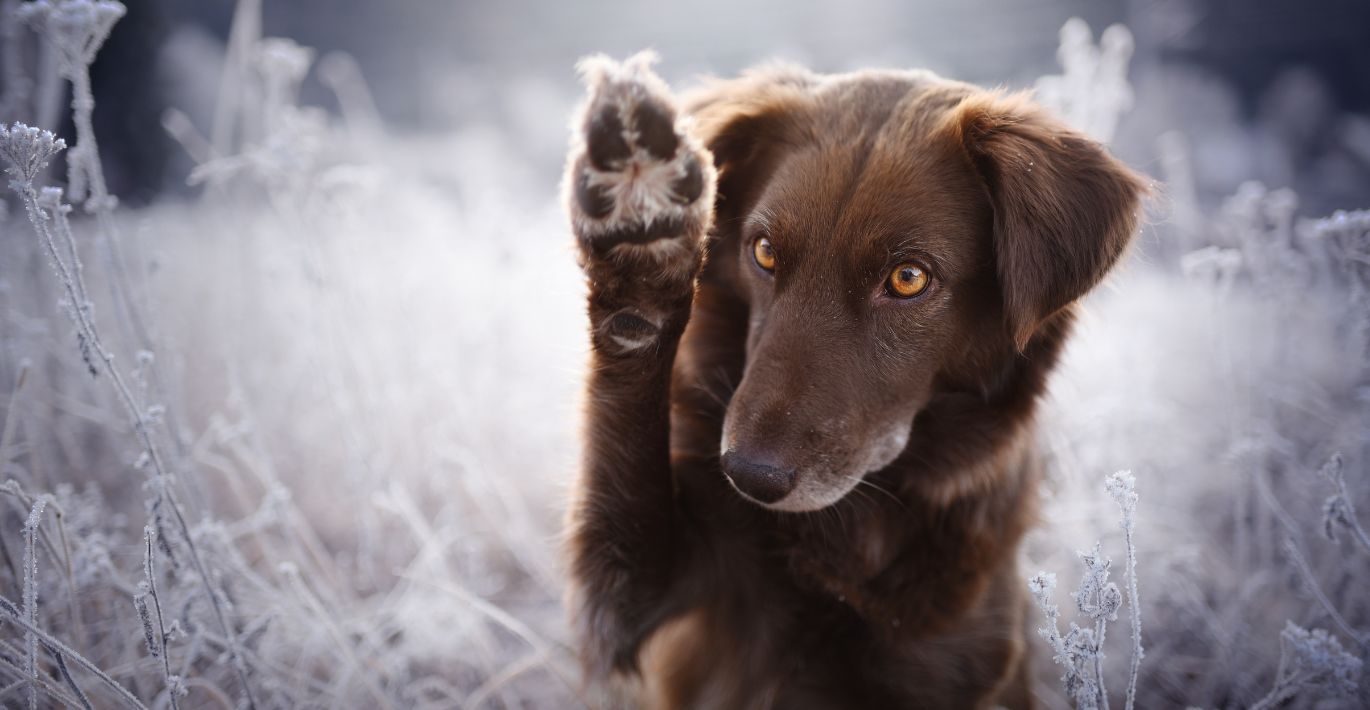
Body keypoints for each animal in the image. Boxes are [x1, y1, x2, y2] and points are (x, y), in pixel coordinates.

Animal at [556, 54, 1145, 710]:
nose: (750, 477)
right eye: (764, 251)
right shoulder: (634, 599)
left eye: (909, 278)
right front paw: (641, 219)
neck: (853, 529)